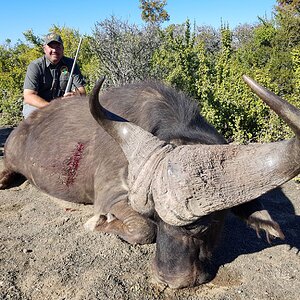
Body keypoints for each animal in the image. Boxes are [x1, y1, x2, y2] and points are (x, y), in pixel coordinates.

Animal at [0, 75, 298, 288]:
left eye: (204, 225)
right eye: (155, 216)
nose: (169, 279)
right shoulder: (112, 196)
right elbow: (144, 230)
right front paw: (99, 222)